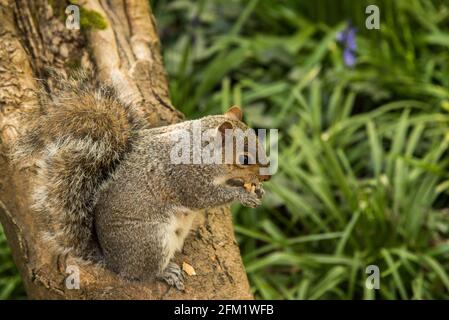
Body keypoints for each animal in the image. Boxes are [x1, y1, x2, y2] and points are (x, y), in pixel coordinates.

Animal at [10, 71, 270, 292]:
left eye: (259, 140)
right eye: (244, 159)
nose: (267, 176)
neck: (200, 150)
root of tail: (113, 261)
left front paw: (258, 191)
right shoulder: (186, 177)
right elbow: (204, 197)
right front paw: (242, 195)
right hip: (151, 241)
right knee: (143, 273)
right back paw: (165, 272)